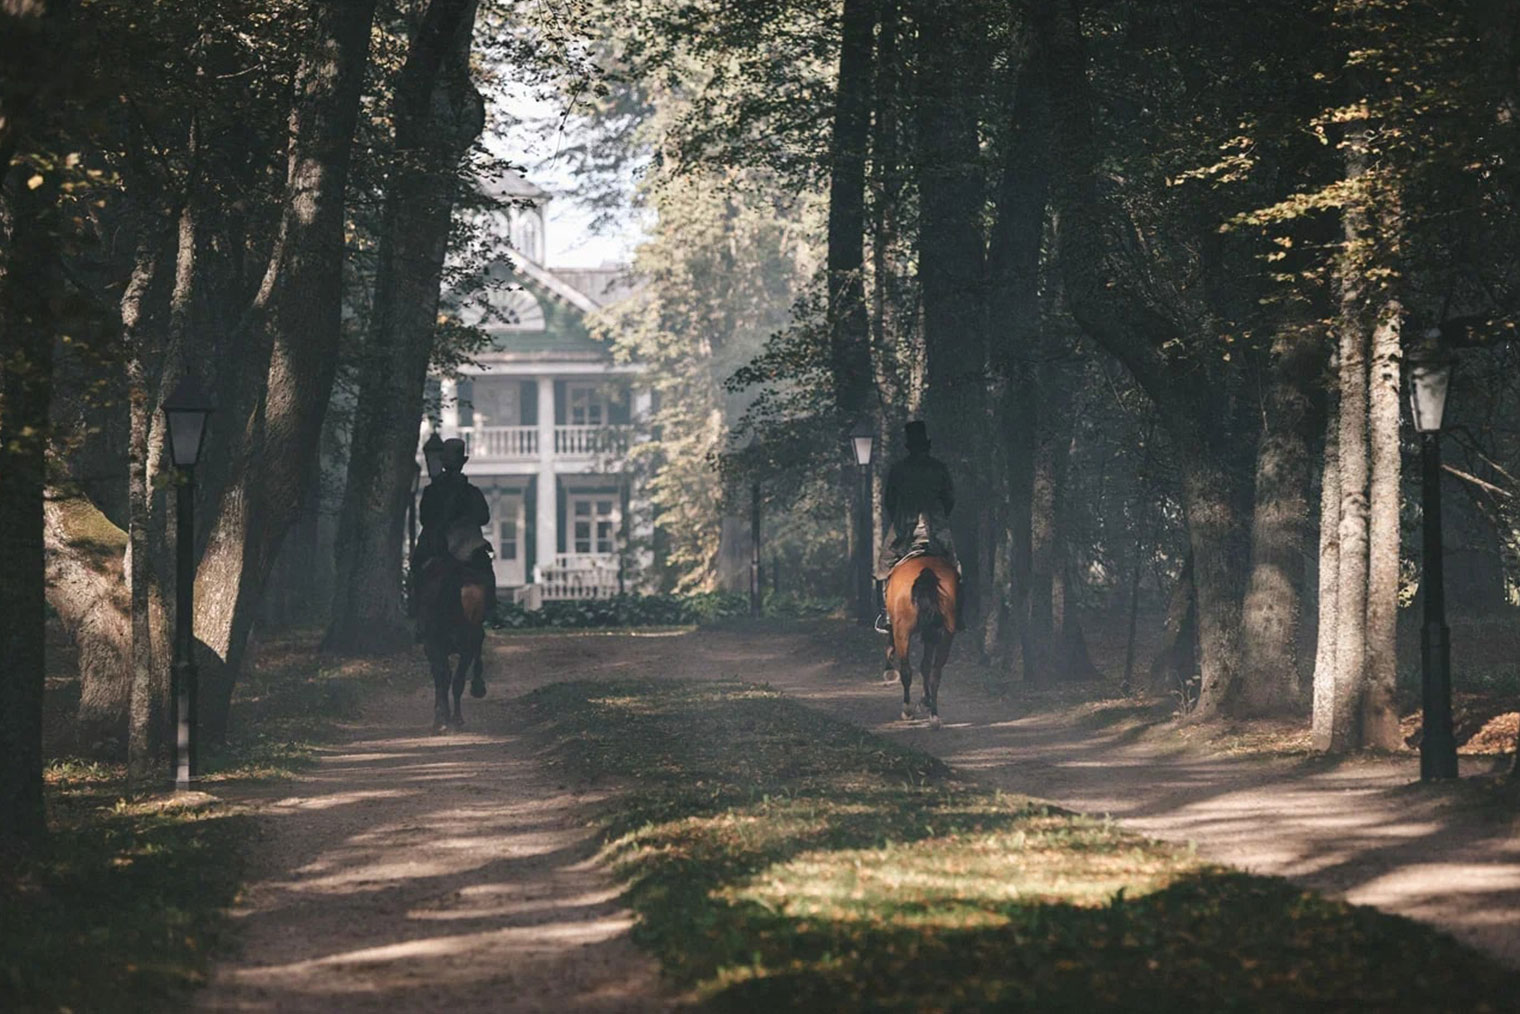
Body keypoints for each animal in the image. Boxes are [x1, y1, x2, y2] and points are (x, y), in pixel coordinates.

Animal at [416, 559, 486, 732]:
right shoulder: (433, 647)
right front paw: (442, 718)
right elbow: (443, 678)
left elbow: (457, 681)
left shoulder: (466, 649)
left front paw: (456, 718)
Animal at [881, 556, 960, 729]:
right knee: (935, 674)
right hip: (945, 635)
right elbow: (925, 666)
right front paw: (925, 701)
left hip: (902, 633)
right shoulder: (931, 635)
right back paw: (934, 717)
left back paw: (907, 710)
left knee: (906, 671)